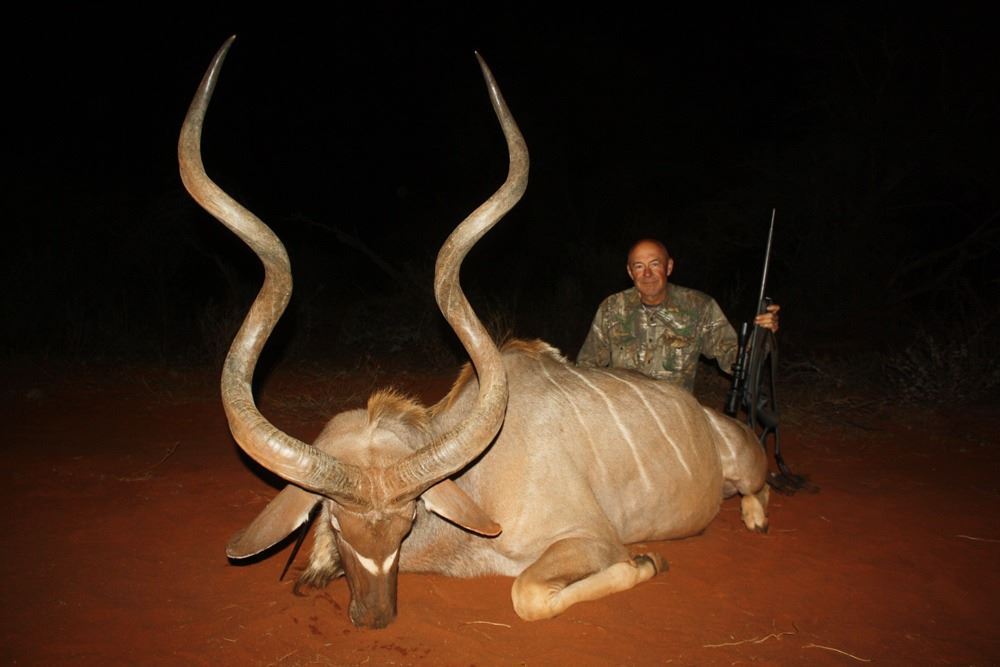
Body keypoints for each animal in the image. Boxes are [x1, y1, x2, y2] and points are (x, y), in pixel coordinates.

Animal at [178, 36, 770, 629]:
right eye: (338, 521)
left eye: (408, 522)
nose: (374, 616)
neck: (482, 479)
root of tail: (714, 420)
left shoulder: (592, 538)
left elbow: (529, 592)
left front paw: (648, 562)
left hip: (745, 467)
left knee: (758, 488)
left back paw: (755, 514)